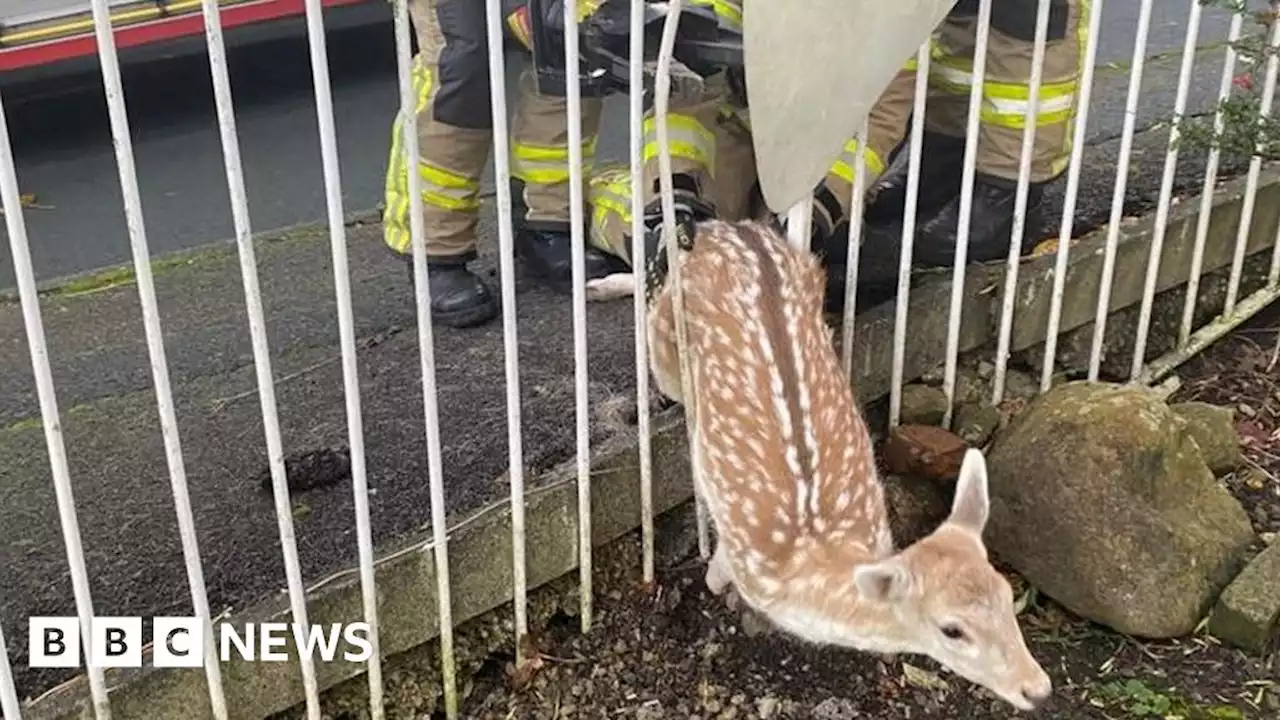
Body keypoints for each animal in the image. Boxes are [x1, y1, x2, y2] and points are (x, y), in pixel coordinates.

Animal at [588, 220, 1049, 712]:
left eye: (1007, 594)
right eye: (952, 629)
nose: (1037, 688)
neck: (809, 559)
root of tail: (728, 229)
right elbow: (716, 575)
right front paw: (716, 588)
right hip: (666, 349)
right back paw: (602, 285)